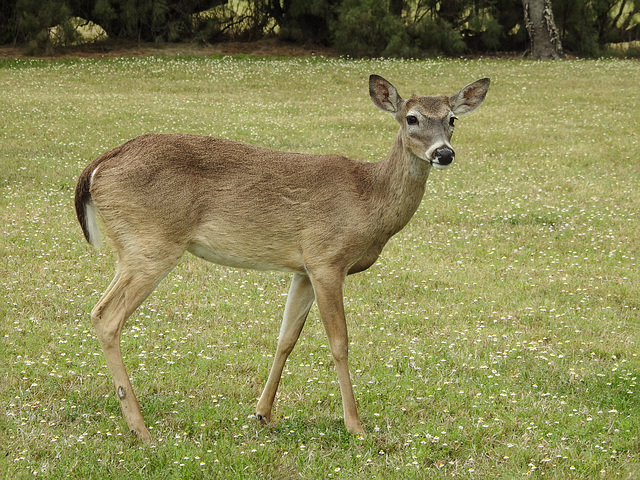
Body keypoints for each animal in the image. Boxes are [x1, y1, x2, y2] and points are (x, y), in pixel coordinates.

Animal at [74, 73, 490, 440]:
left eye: (452, 119)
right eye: (411, 118)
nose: (444, 153)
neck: (368, 198)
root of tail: (96, 167)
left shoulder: (302, 267)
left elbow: (286, 337)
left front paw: (263, 413)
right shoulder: (326, 259)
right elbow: (339, 343)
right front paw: (355, 426)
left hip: (135, 248)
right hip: (151, 243)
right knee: (106, 316)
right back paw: (140, 428)